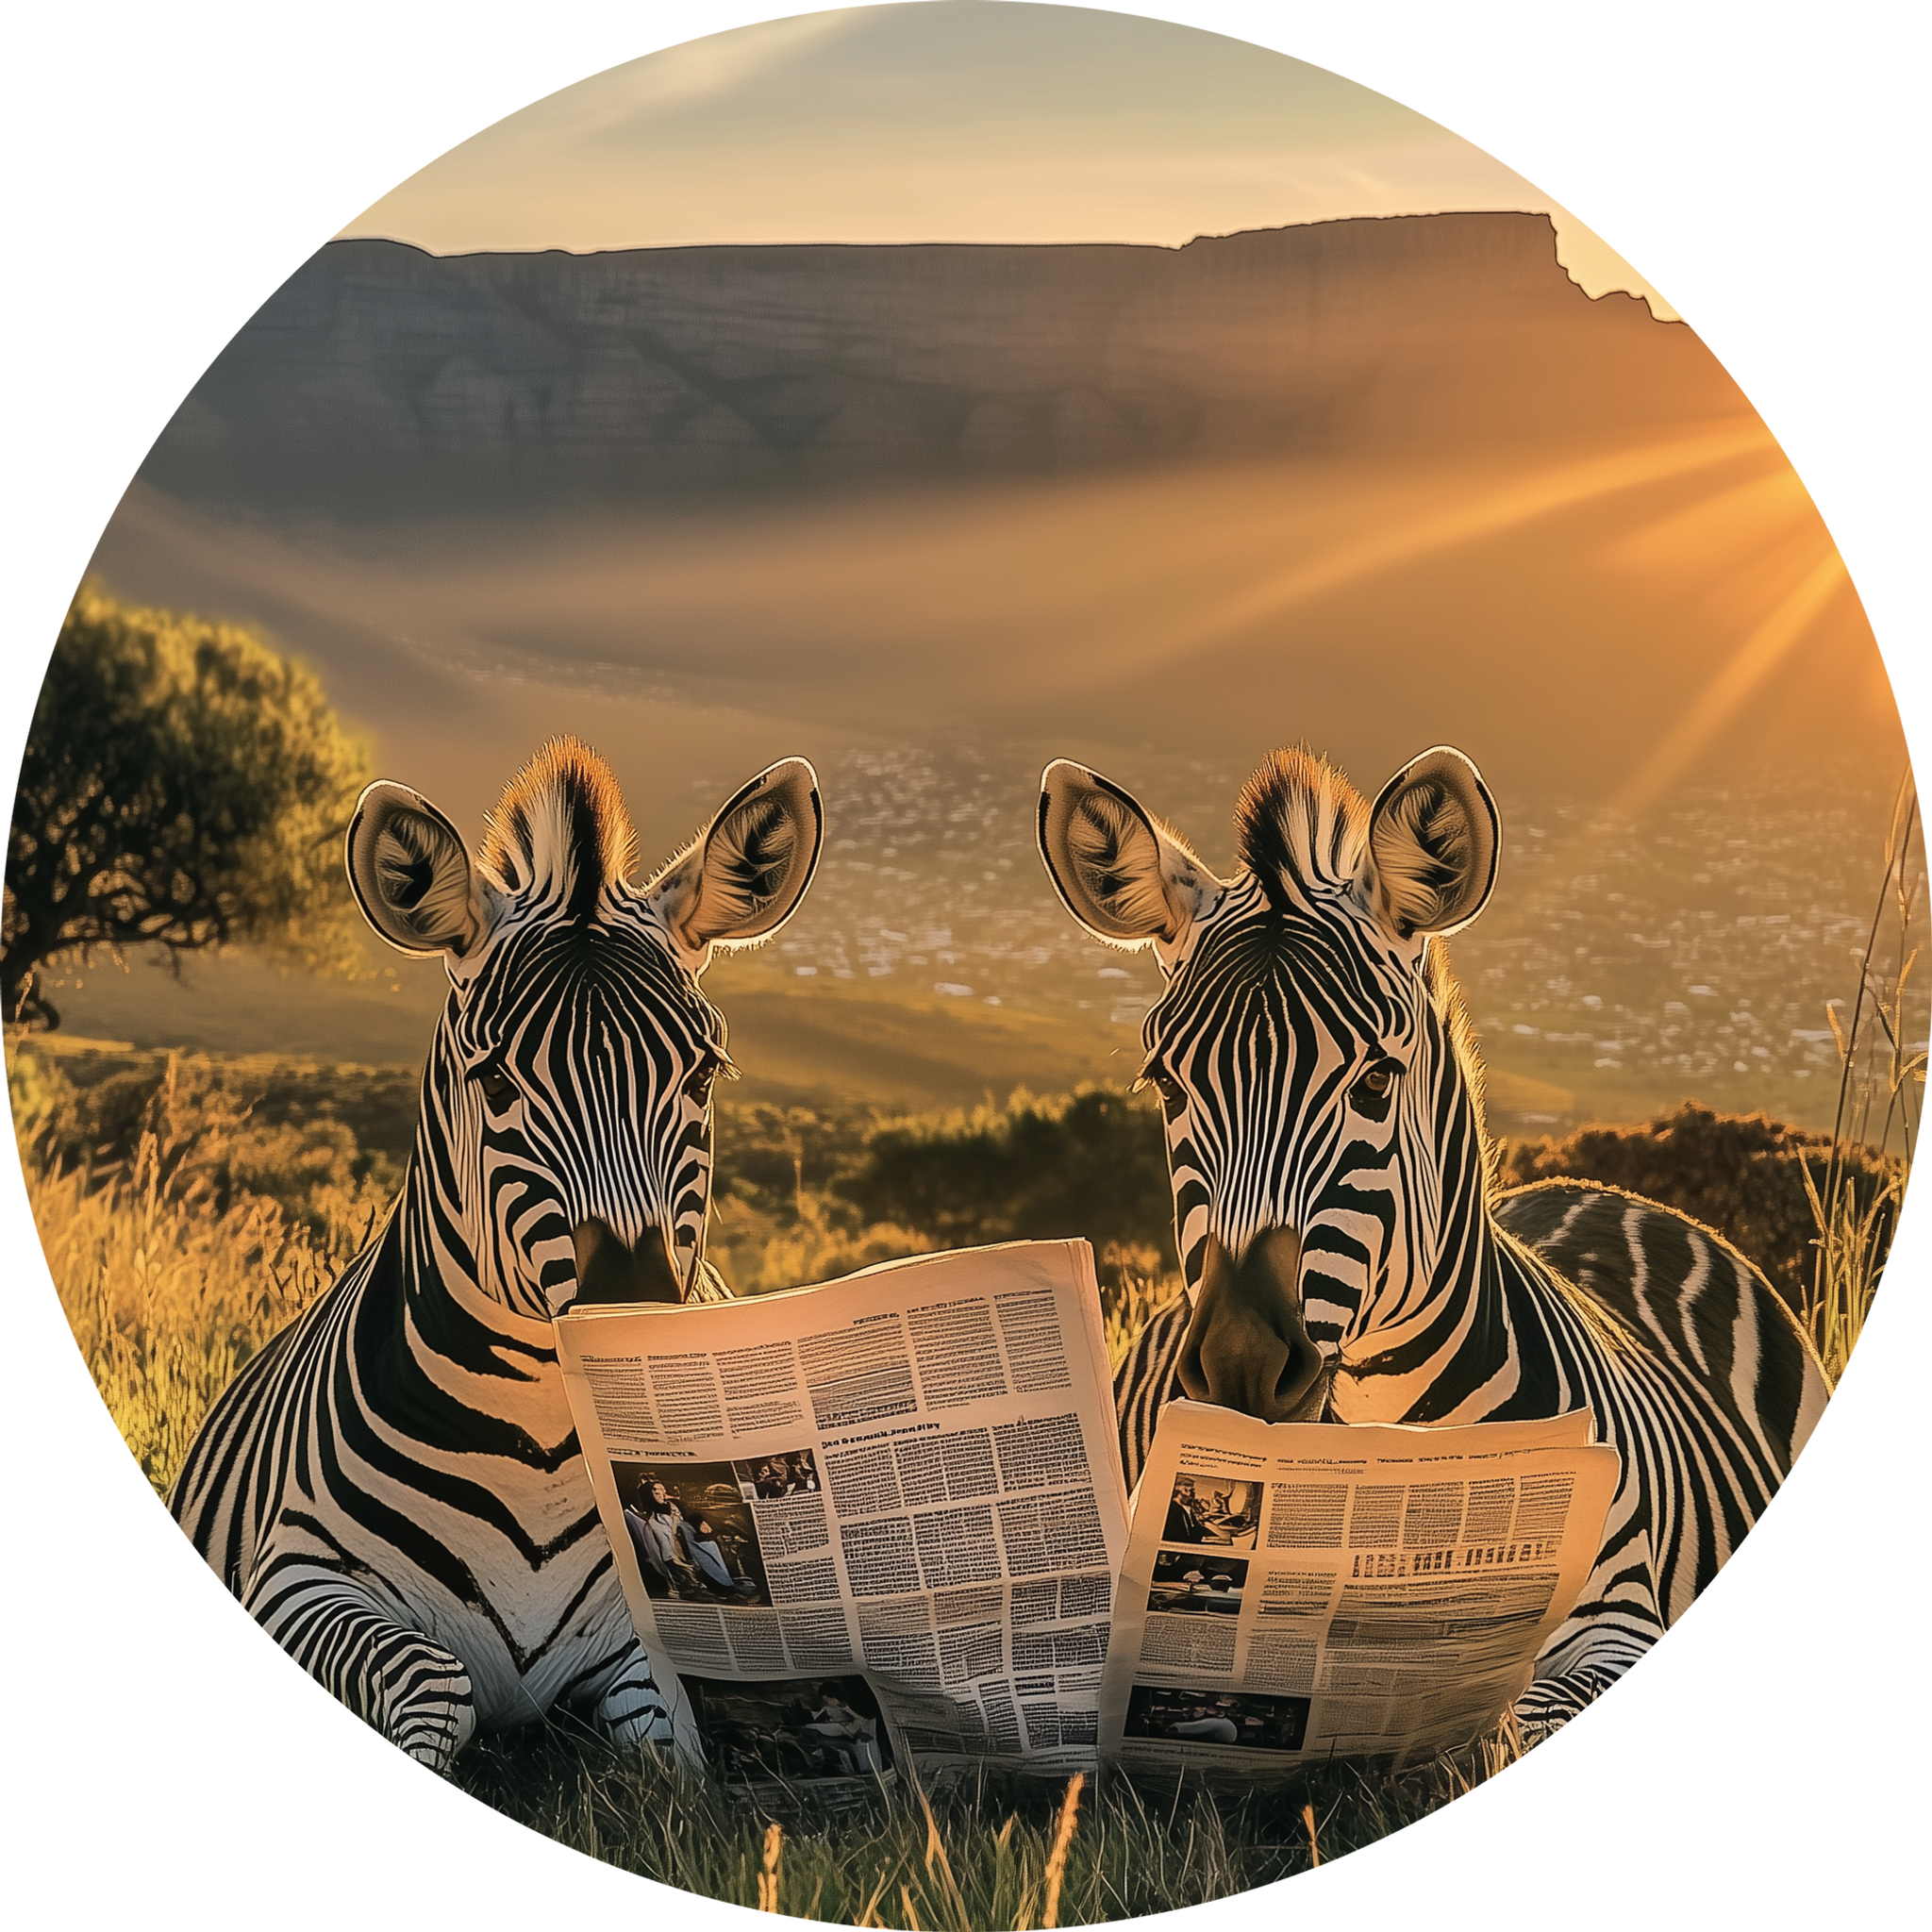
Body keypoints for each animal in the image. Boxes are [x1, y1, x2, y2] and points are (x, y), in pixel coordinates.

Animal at [168, 738, 823, 1769]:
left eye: (702, 1073)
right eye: (495, 1081)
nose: (631, 1320)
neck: (542, 1439)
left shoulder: (661, 1632)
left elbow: (674, 1739)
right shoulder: (296, 1571)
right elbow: (434, 1679)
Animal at [1037, 743, 1833, 1741]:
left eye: (1377, 1081)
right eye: (1167, 1085)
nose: (1239, 1373)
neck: (1395, 1422)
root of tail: (1595, 1191)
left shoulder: (1616, 1616)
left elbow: (1523, 1717)